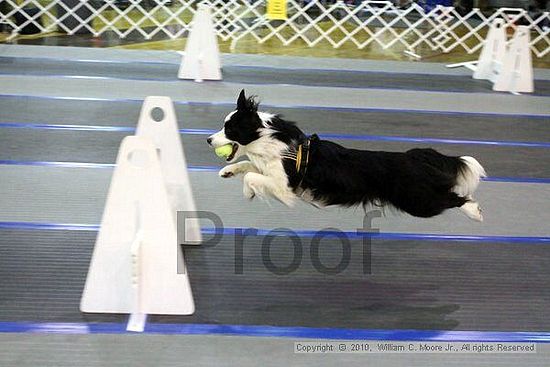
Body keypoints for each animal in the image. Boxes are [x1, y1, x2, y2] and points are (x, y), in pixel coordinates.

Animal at [207, 90, 488, 221]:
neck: (267, 138)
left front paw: (248, 192)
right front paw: (227, 171)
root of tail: (413, 157)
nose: (208, 140)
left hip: (417, 202)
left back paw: (475, 211)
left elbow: (252, 176)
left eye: (229, 129)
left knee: (454, 198)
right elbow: (248, 165)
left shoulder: (285, 190)